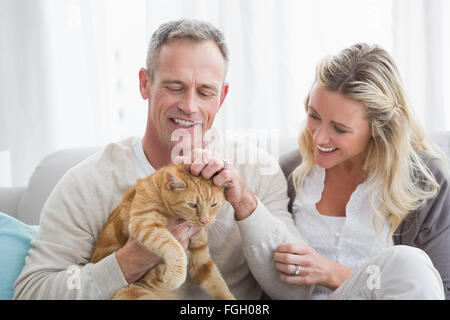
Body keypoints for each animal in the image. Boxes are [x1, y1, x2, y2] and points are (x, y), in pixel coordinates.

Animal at [89, 165, 234, 300]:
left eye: (214, 205)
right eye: (192, 205)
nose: (205, 221)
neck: (158, 190)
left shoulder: (201, 260)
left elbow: (217, 284)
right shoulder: (145, 223)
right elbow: (173, 246)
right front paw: (175, 277)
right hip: (130, 292)